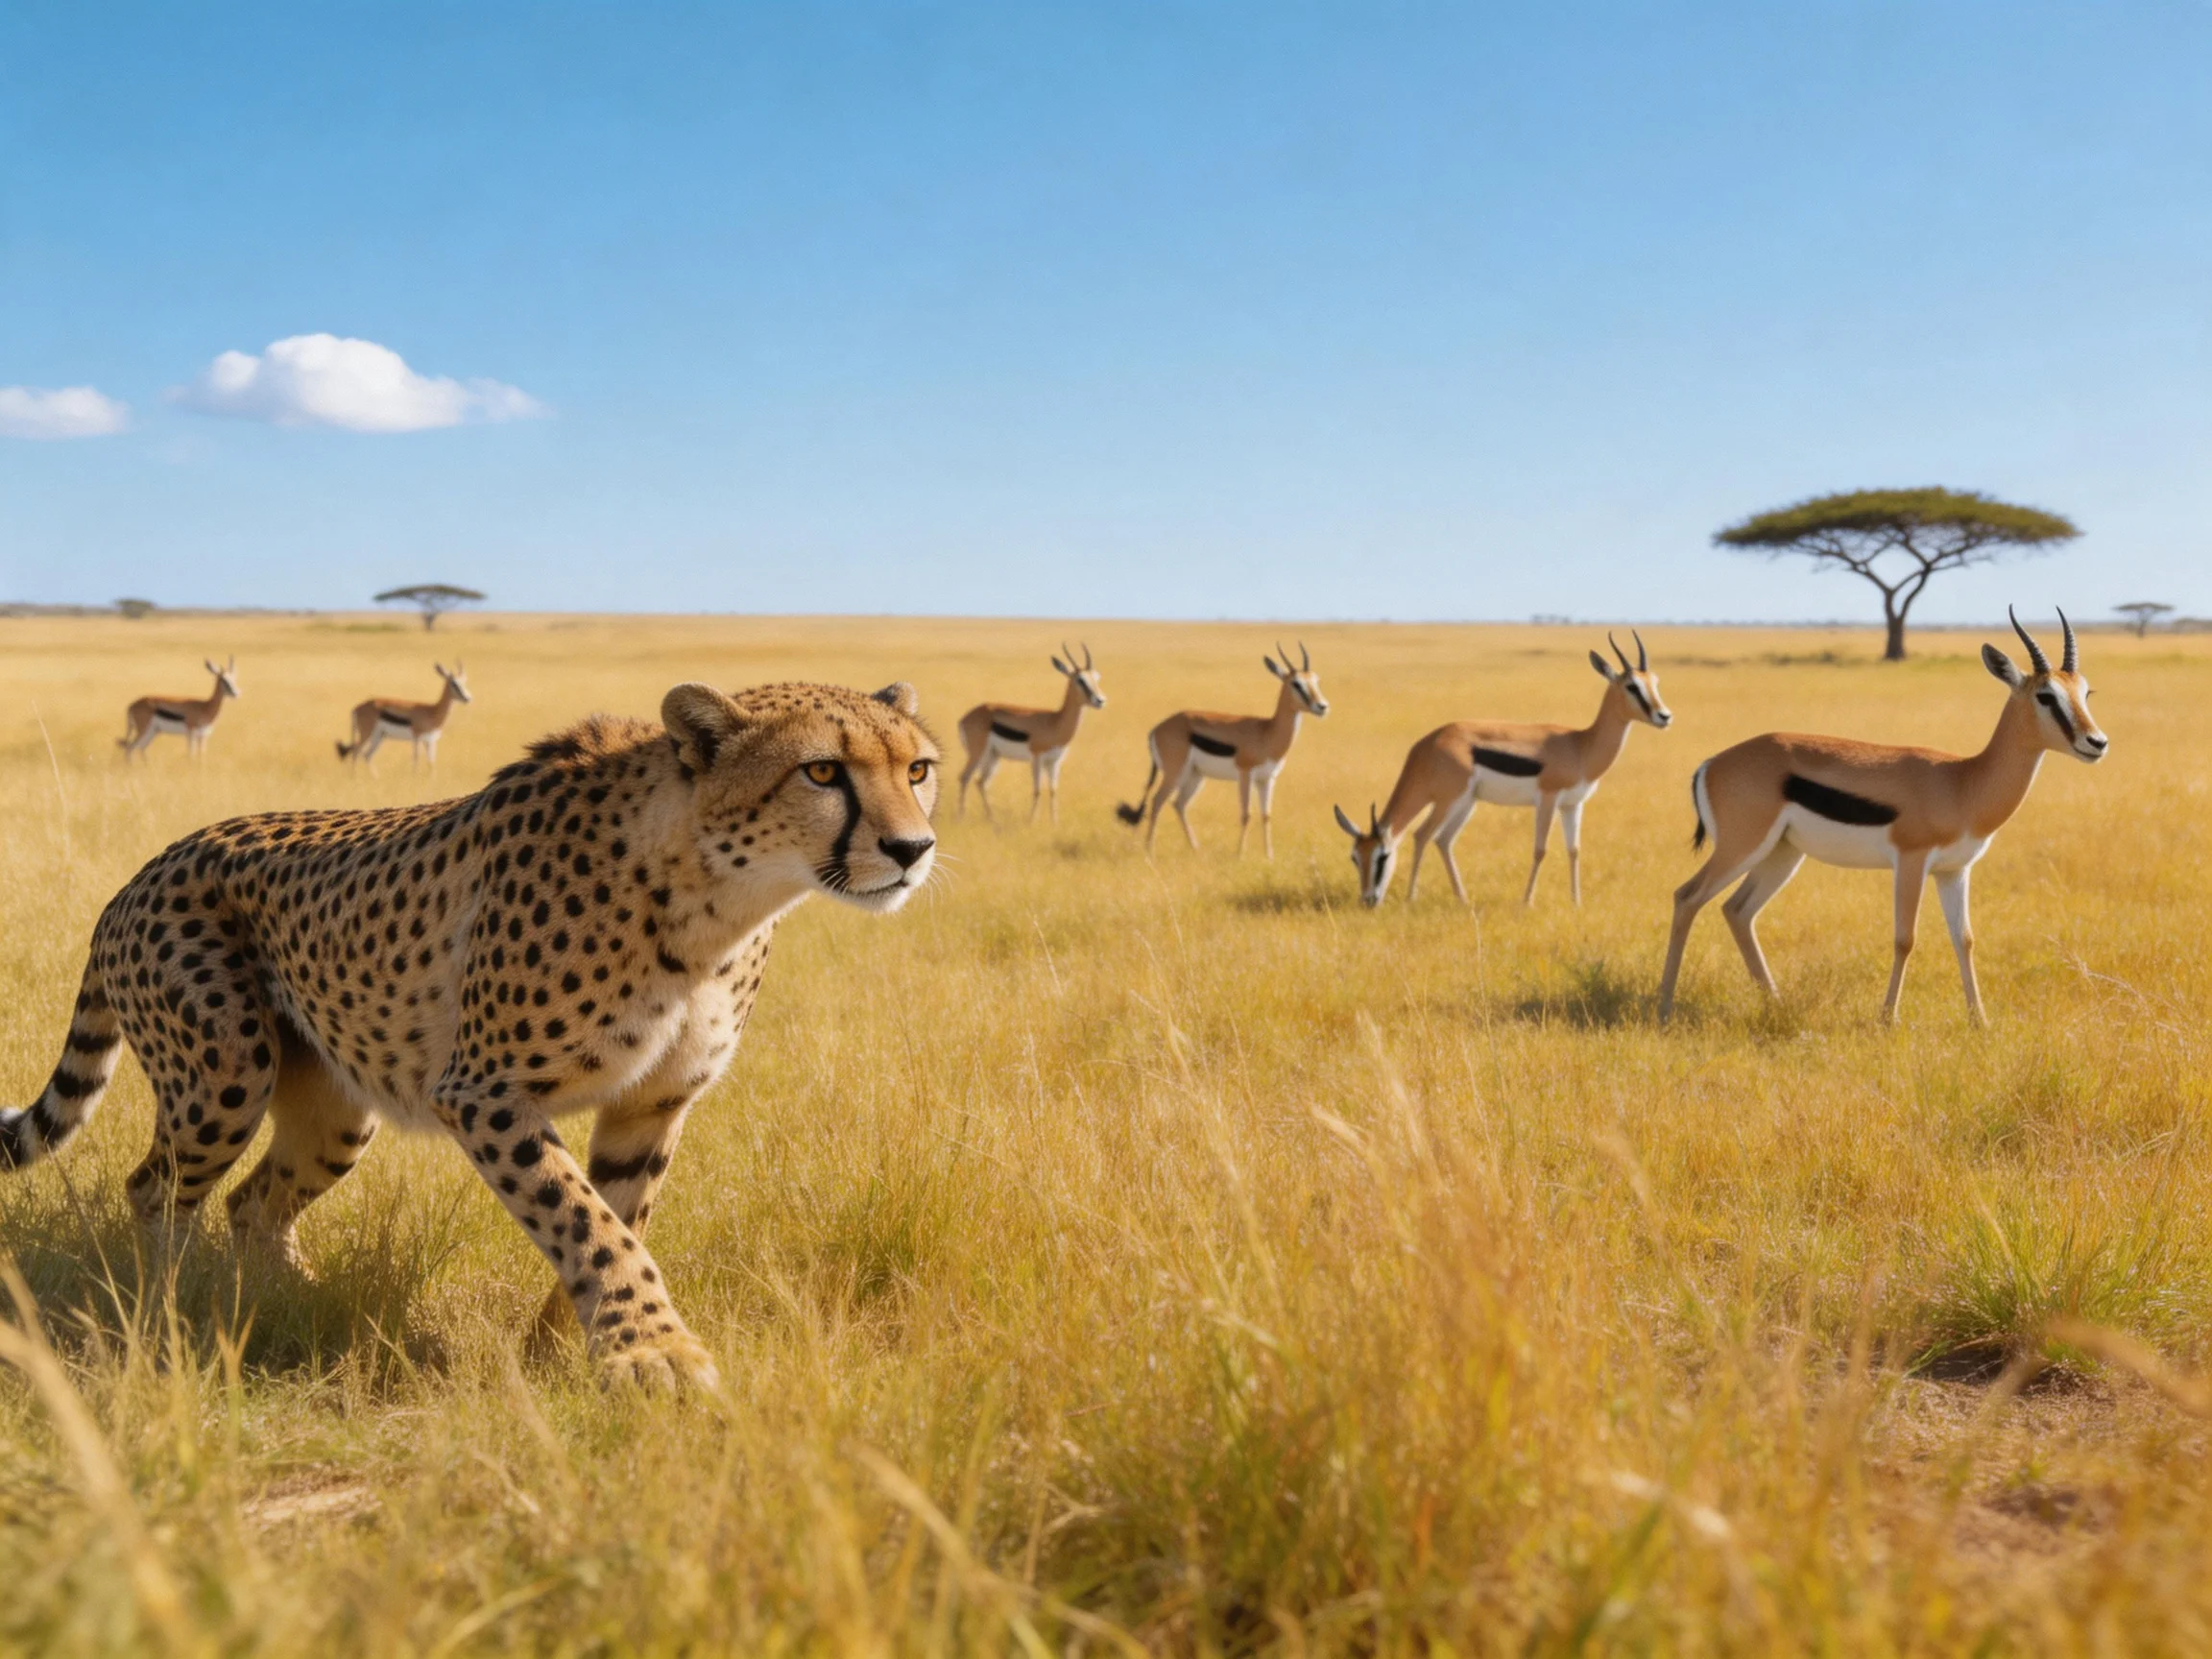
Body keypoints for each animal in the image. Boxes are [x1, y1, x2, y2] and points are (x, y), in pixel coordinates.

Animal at [1, 679, 940, 1389]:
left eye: (919, 768)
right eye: (822, 770)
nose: (912, 848)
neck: (712, 897)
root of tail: (142, 871)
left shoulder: (653, 1104)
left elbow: (617, 1216)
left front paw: (564, 1355)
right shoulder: (483, 1089)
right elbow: (585, 1220)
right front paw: (653, 1351)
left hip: (338, 1108)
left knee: (252, 1201)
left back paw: (292, 1299)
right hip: (225, 1072)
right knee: (155, 1188)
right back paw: (176, 1302)